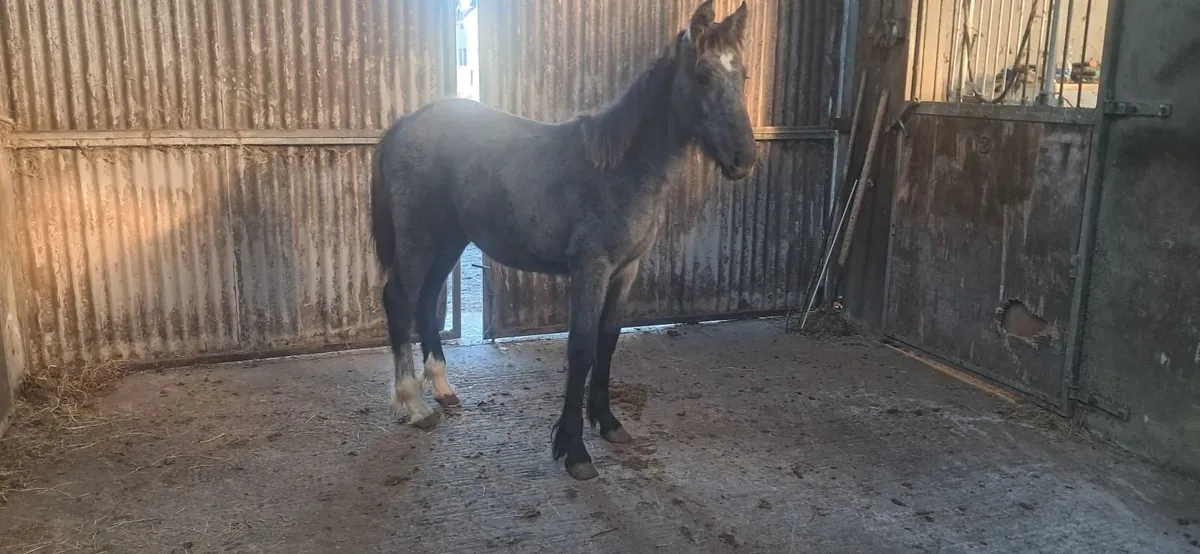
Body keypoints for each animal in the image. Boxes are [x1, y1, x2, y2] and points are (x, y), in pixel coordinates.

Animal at [369, 0, 756, 481]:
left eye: (743, 75)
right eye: (702, 75)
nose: (745, 158)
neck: (621, 168)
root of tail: (405, 124)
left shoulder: (626, 271)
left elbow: (608, 342)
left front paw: (608, 423)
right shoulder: (590, 269)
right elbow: (581, 347)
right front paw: (574, 450)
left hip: (448, 241)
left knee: (425, 302)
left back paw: (442, 388)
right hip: (419, 238)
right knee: (399, 300)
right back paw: (414, 405)